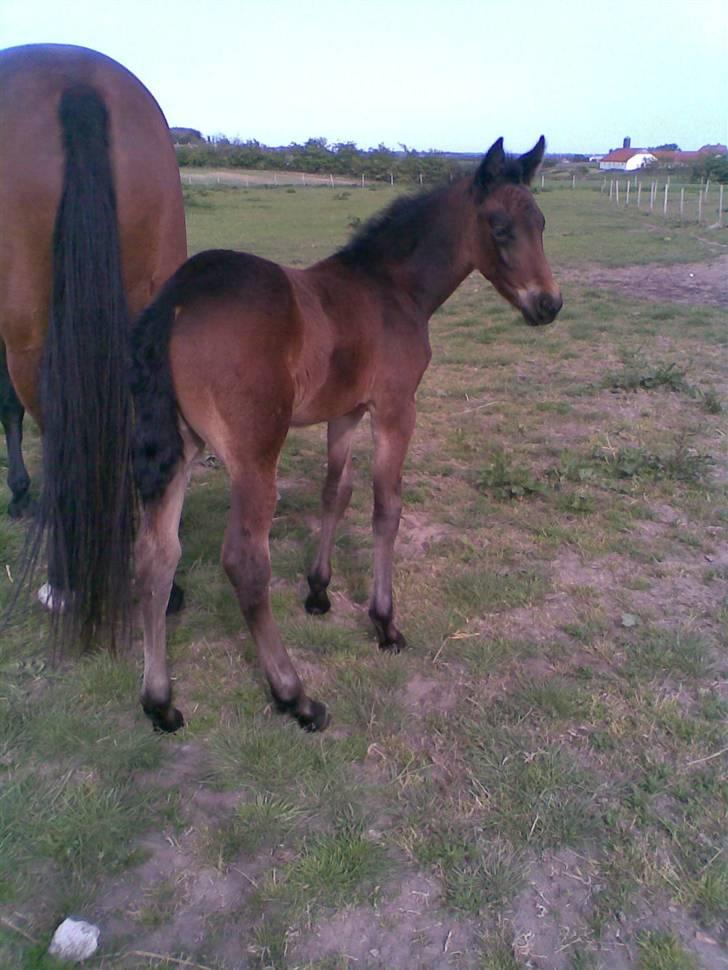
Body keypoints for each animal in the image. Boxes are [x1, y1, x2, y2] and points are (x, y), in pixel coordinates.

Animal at [128, 134, 564, 728]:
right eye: (499, 226)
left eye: (541, 222)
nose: (548, 304)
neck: (391, 289)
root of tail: (176, 299)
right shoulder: (396, 407)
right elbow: (386, 506)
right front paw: (384, 621)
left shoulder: (346, 411)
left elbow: (335, 491)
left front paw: (318, 590)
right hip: (253, 455)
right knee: (246, 564)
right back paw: (294, 695)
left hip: (180, 449)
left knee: (157, 556)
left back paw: (160, 701)